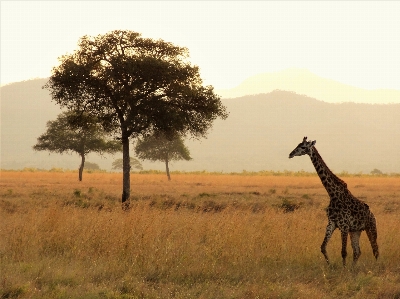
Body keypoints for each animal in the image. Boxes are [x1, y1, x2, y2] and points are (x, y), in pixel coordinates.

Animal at [288, 137, 378, 266]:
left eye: (303, 147)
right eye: (298, 144)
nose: (290, 154)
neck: (332, 194)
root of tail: (372, 214)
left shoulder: (344, 225)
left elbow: (344, 252)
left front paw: (343, 268)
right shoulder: (332, 223)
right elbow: (323, 247)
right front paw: (330, 265)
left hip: (371, 227)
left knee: (375, 250)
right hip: (355, 231)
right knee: (357, 251)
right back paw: (353, 268)